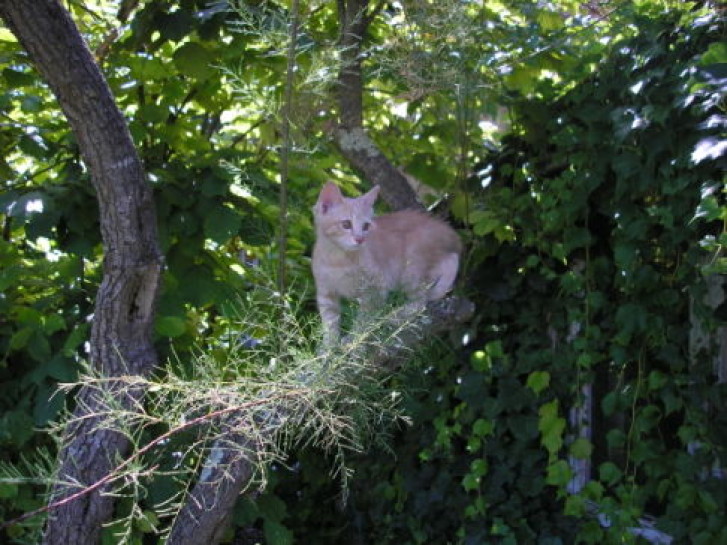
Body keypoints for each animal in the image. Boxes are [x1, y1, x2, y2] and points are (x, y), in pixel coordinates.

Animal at [312, 185, 460, 342]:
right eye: (346, 224)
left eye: (366, 226)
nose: (360, 239)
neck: (337, 258)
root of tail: (447, 231)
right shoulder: (326, 293)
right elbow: (330, 323)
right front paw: (329, 346)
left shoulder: (377, 286)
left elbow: (364, 318)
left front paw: (354, 339)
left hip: (411, 268)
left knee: (421, 301)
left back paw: (394, 317)